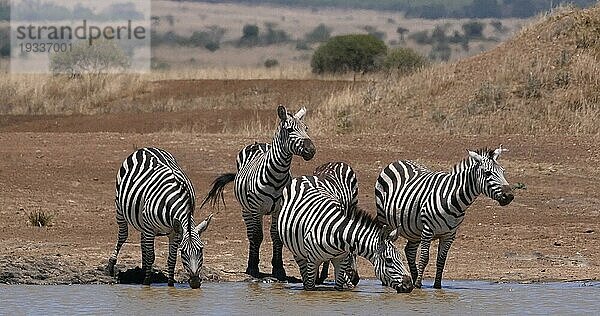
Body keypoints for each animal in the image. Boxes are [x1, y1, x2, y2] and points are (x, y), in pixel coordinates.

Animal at [106, 147, 213, 288]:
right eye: (183, 252)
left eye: (201, 250)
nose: (195, 283)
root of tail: (146, 148)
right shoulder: (151, 228)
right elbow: (151, 256)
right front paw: (146, 283)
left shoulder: (175, 232)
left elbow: (171, 259)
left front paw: (170, 284)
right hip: (120, 207)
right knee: (123, 236)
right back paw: (111, 265)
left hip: (142, 221)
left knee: (143, 242)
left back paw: (143, 269)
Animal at [202, 105, 316, 280]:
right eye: (289, 130)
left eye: (306, 128)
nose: (311, 150)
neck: (277, 176)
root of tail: (258, 143)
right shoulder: (256, 208)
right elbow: (257, 236)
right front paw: (254, 268)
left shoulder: (279, 209)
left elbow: (276, 237)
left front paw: (278, 269)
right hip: (246, 209)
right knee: (251, 235)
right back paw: (250, 265)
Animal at [278, 165, 412, 292]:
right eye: (389, 260)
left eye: (400, 258)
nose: (409, 285)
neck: (335, 234)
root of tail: (305, 177)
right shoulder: (312, 261)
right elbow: (310, 287)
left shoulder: (341, 260)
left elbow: (338, 287)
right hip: (297, 251)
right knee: (303, 273)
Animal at [376, 146, 510, 288]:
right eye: (487, 173)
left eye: (503, 172)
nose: (510, 196)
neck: (454, 200)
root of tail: (397, 161)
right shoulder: (428, 230)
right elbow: (424, 258)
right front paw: (418, 285)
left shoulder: (449, 235)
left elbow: (441, 260)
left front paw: (437, 286)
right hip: (385, 219)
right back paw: (388, 282)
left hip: (413, 228)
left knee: (410, 251)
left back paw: (414, 276)